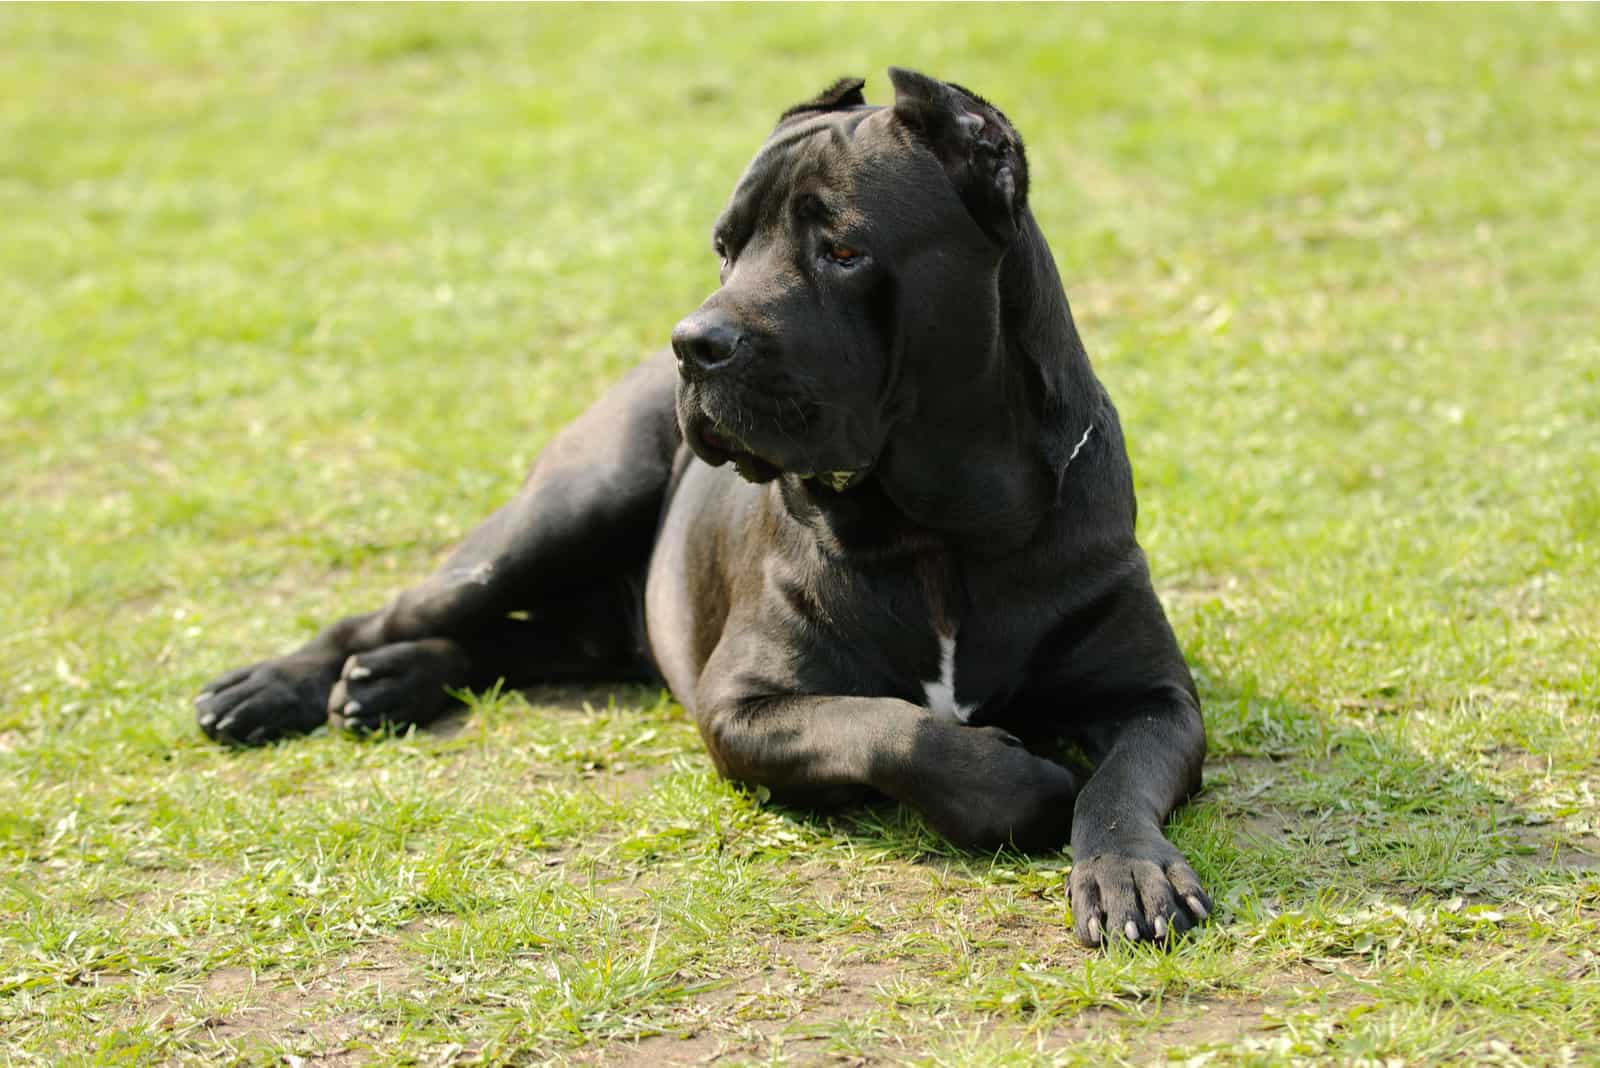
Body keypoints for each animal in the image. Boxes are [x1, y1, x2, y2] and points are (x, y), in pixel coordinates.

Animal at [193, 70, 1203, 946]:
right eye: (726, 246)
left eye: (844, 249)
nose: (694, 342)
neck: (938, 532)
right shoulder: (744, 702)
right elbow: (901, 731)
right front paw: (1027, 776)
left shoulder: (1154, 697)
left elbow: (1118, 782)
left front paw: (1127, 871)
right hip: (565, 510)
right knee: (399, 610)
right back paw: (272, 687)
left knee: (529, 640)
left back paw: (388, 681)